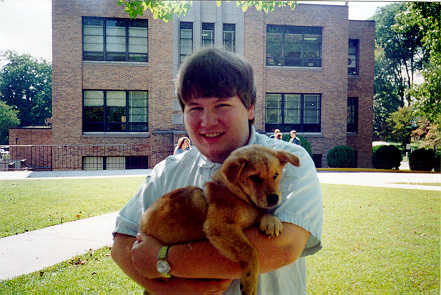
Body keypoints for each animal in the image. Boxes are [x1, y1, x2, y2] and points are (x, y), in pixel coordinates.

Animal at [139, 145, 300, 294]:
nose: (274, 198)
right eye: (254, 177)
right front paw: (249, 282)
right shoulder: (218, 226)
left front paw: (271, 221)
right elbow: (250, 252)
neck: (234, 194)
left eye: (275, 175)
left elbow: (260, 213)